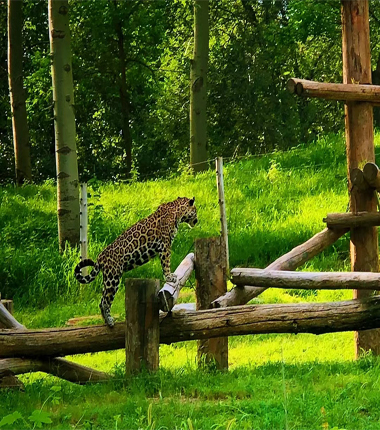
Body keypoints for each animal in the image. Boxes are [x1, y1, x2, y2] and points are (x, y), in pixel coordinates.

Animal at [74, 197, 199, 328]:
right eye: (195, 210)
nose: (197, 220)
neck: (177, 212)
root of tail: (100, 257)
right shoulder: (165, 246)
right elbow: (166, 263)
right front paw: (170, 277)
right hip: (113, 278)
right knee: (104, 301)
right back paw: (109, 321)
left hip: (108, 278)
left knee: (102, 299)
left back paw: (106, 321)